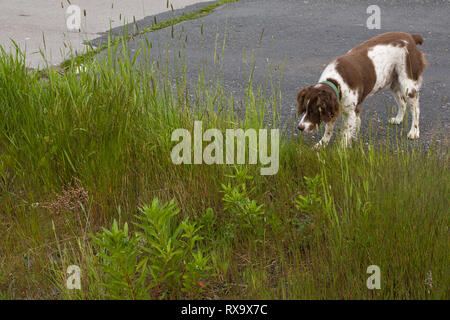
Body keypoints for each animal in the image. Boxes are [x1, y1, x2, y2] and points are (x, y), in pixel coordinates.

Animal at [298, 31, 428, 147]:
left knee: (415, 109)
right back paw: (398, 119)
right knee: (402, 103)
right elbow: (330, 130)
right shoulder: (344, 109)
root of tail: (411, 37)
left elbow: (345, 133)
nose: (300, 127)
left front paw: (342, 151)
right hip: (394, 82)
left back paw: (414, 132)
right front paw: (321, 145)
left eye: (314, 111)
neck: (336, 82)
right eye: (304, 109)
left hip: (408, 84)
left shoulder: (350, 111)